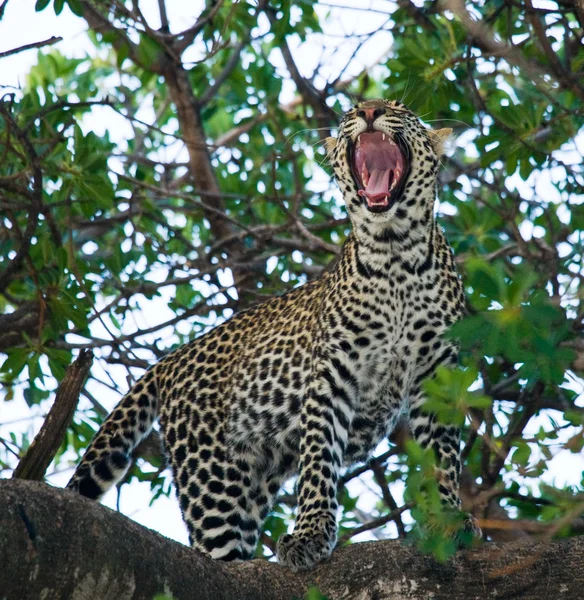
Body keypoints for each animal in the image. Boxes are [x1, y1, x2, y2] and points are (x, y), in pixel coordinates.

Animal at [67, 99, 480, 572]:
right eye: (351, 110)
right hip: (212, 480)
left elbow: (442, 457)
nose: (370, 109)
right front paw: (312, 533)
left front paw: (448, 518)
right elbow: (319, 456)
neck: (394, 251)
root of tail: (168, 361)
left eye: (398, 107)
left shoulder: (437, 373)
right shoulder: (332, 374)